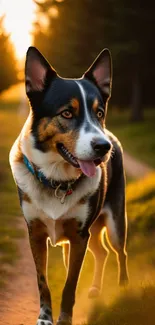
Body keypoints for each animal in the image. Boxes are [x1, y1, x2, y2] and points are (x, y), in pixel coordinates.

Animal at [9, 46, 129, 324]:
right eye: (66, 113)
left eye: (99, 113)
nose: (103, 147)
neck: (56, 180)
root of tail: (113, 137)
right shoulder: (36, 233)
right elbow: (43, 282)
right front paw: (45, 317)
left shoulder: (79, 236)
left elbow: (70, 284)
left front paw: (64, 318)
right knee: (102, 253)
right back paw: (95, 288)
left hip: (115, 222)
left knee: (119, 252)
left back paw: (122, 287)